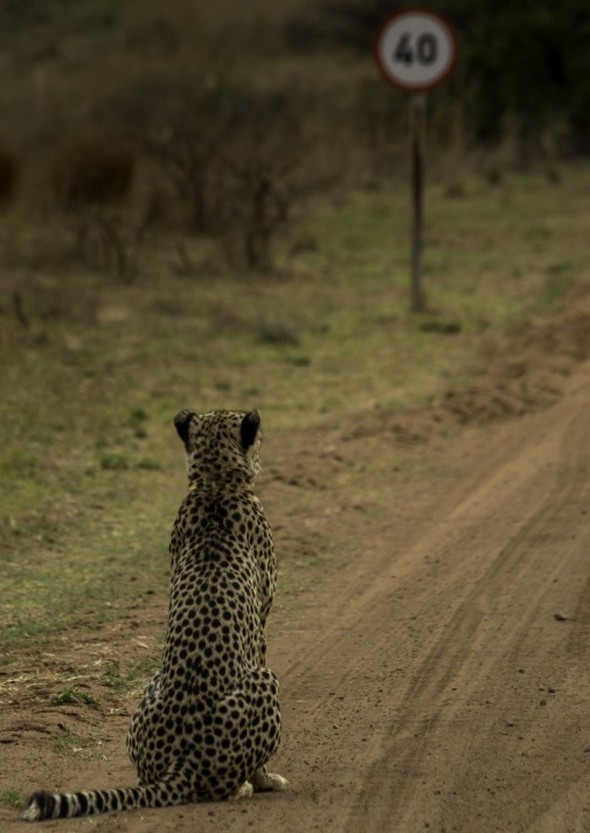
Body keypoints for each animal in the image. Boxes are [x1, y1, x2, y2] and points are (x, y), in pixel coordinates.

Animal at [24, 410, 288, 820]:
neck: (214, 483)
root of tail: (180, 762)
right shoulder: (260, 624)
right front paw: (266, 779)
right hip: (265, 679)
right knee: (221, 787)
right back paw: (244, 786)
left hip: (151, 687)